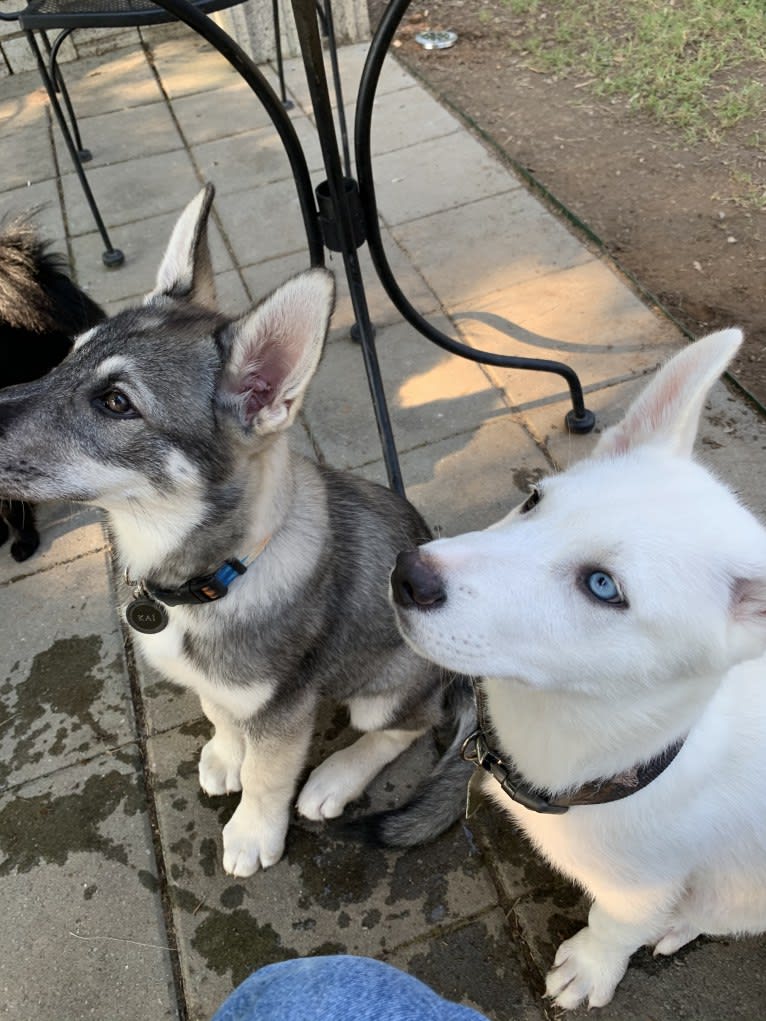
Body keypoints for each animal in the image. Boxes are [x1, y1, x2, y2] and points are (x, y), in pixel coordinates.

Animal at [0, 185, 477, 878]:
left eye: (116, 402)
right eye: (67, 354)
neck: (209, 577)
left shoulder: (285, 707)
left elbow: (270, 774)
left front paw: (253, 831)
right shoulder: (227, 688)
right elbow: (215, 708)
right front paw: (226, 753)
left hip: (387, 685)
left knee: (404, 727)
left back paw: (336, 776)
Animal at [392, 330, 766, 1008]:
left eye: (602, 586)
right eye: (534, 498)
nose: (408, 575)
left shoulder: (642, 886)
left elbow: (616, 920)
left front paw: (592, 966)